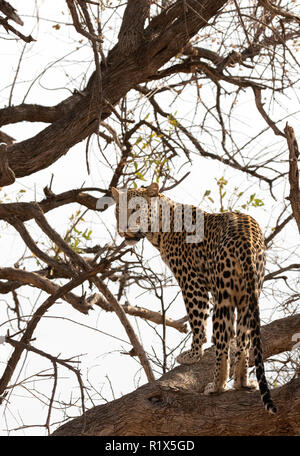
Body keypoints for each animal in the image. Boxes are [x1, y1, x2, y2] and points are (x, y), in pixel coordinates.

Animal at [111, 181, 278, 414]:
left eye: (136, 209)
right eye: (118, 211)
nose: (122, 229)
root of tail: (246, 237)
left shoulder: (191, 282)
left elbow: (197, 321)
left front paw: (192, 355)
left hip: (223, 297)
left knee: (222, 342)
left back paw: (217, 386)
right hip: (249, 296)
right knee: (243, 340)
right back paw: (241, 383)